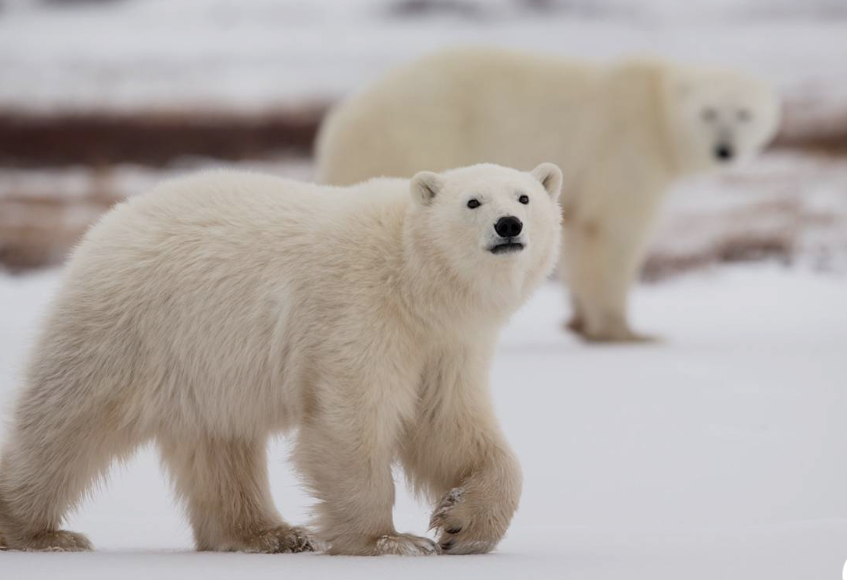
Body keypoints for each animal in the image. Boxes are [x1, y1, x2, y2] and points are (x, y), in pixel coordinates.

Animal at [0, 162, 563, 555]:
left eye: (524, 195)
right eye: (472, 201)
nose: (509, 224)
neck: (413, 279)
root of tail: (108, 222)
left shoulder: (445, 344)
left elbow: (447, 426)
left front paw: (462, 524)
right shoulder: (358, 314)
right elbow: (350, 423)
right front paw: (388, 540)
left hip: (202, 367)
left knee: (220, 446)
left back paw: (269, 533)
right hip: (128, 329)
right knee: (66, 425)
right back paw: (40, 532)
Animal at [315, 47, 781, 342]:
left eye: (744, 113)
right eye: (708, 113)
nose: (725, 150)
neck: (655, 109)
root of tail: (341, 121)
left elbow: (574, 236)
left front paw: (579, 322)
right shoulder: (625, 153)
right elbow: (613, 236)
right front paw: (626, 331)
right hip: (418, 137)